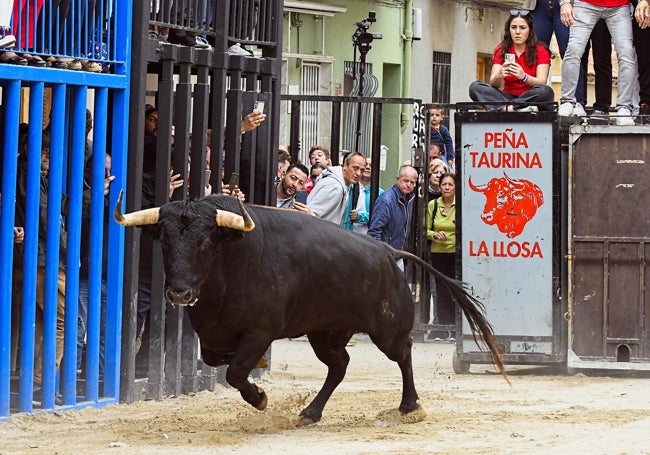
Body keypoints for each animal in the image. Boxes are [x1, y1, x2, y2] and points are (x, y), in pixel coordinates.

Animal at [114, 194, 504, 426]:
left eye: (205, 241)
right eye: (165, 240)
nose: (179, 293)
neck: (233, 261)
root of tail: (389, 253)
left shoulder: (260, 331)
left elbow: (237, 372)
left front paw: (260, 398)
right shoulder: (211, 335)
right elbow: (217, 360)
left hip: (387, 330)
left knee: (403, 354)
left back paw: (410, 406)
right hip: (325, 332)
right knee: (339, 365)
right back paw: (310, 412)